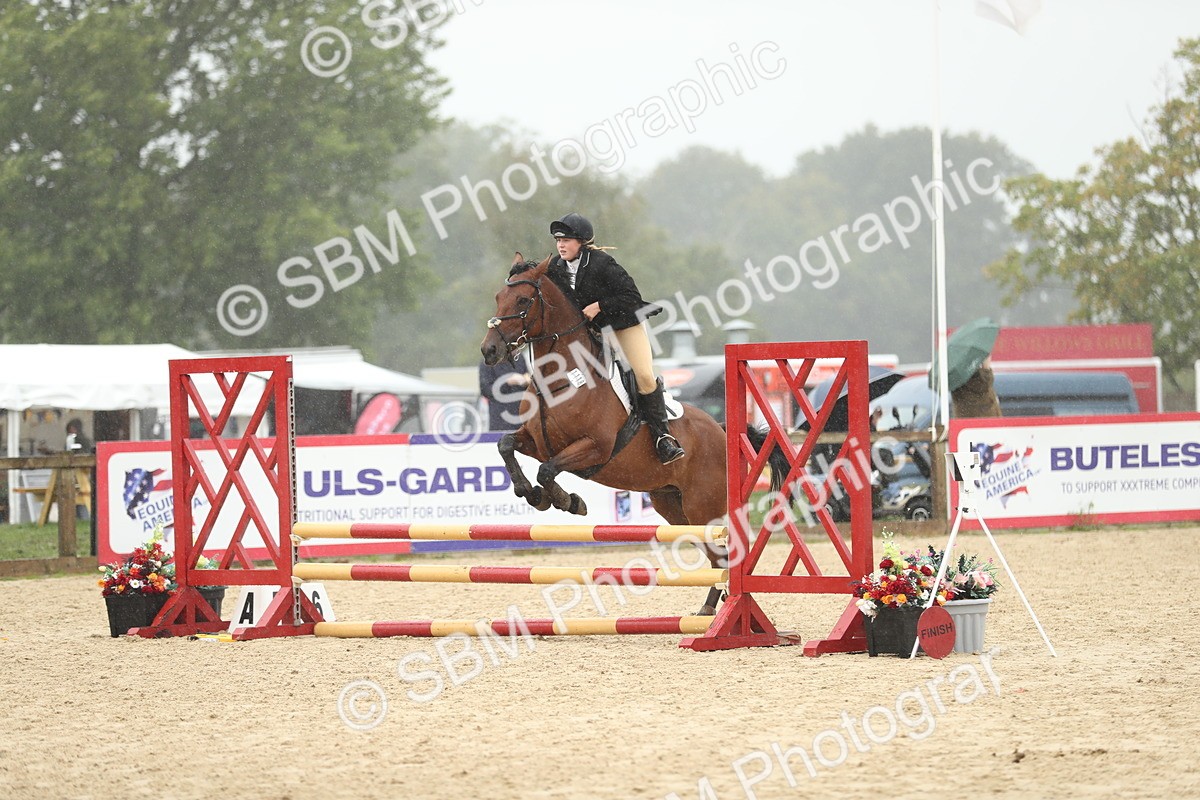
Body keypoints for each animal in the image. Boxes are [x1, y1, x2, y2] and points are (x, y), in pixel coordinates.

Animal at [480, 253, 786, 615]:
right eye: (498, 297)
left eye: (524, 300)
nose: (489, 351)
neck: (561, 377)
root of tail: (721, 431)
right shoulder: (537, 442)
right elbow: (506, 445)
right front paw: (530, 493)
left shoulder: (594, 447)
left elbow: (548, 470)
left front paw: (568, 501)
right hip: (673, 506)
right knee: (715, 556)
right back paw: (709, 609)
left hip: (703, 505)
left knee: (723, 554)